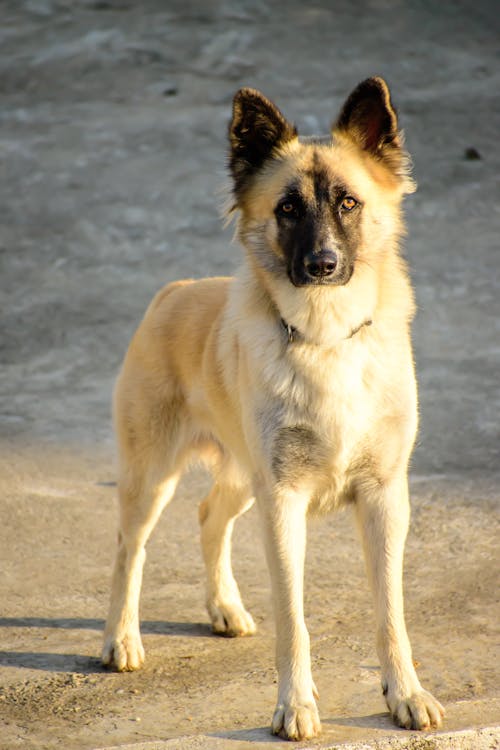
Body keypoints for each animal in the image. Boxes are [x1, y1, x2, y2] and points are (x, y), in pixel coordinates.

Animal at [102, 78, 446, 740]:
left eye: (348, 203)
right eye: (287, 209)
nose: (322, 266)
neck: (327, 337)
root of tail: (174, 291)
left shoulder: (384, 499)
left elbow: (391, 612)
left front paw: (405, 694)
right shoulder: (282, 502)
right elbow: (294, 619)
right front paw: (295, 705)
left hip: (243, 478)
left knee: (209, 516)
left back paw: (224, 608)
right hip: (154, 478)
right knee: (131, 548)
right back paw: (121, 640)